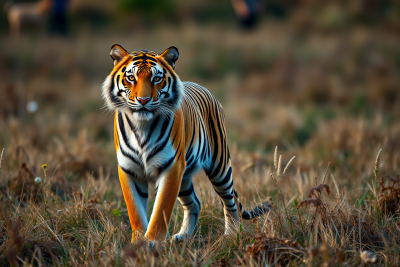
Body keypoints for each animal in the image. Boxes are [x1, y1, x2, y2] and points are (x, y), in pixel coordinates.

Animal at [101, 44, 268, 243]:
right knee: (194, 203)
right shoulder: (129, 170)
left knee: (229, 202)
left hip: (219, 168)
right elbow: (135, 212)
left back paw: (231, 235)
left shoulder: (171, 167)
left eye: (156, 78)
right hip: (185, 177)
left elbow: (161, 210)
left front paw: (152, 242)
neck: (142, 125)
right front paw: (138, 243)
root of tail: (201, 86)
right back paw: (183, 236)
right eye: (131, 78)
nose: (143, 101)